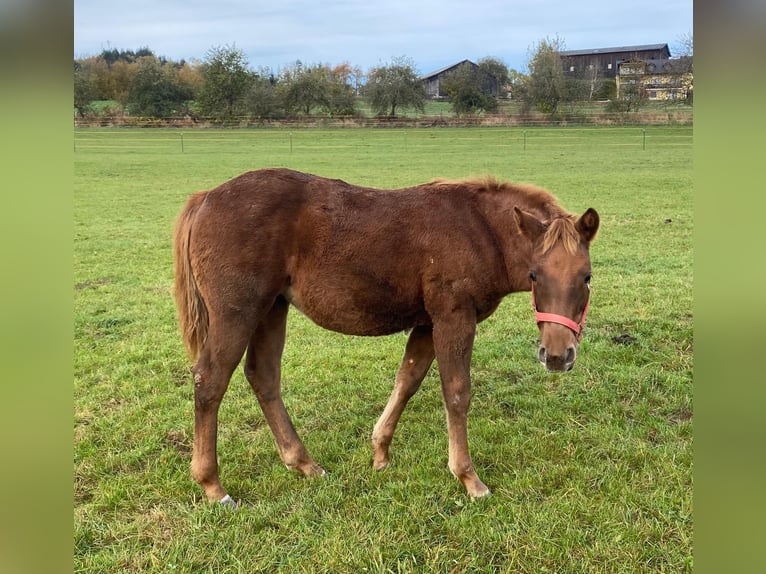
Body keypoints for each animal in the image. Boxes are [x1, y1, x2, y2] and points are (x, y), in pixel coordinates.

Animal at [174, 168, 600, 508]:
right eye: (534, 275)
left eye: (586, 276)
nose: (557, 355)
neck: (480, 229)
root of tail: (206, 197)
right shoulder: (453, 317)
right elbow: (457, 392)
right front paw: (468, 478)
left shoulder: (427, 323)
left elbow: (407, 379)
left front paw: (380, 452)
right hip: (237, 313)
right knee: (210, 381)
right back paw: (213, 486)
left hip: (272, 308)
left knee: (263, 376)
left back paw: (305, 464)